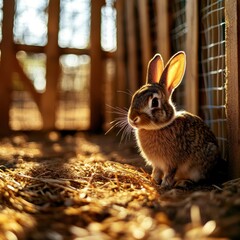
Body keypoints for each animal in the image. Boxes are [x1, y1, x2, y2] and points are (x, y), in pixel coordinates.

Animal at [127, 51, 225, 188]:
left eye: (155, 102)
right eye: (135, 96)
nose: (132, 118)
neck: (159, 127)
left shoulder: (172, 163)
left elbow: (169, 173)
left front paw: (164, 185)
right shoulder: (157, 164)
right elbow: (156, 172)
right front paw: (153, 181)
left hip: (203, 161)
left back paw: (183, 182)